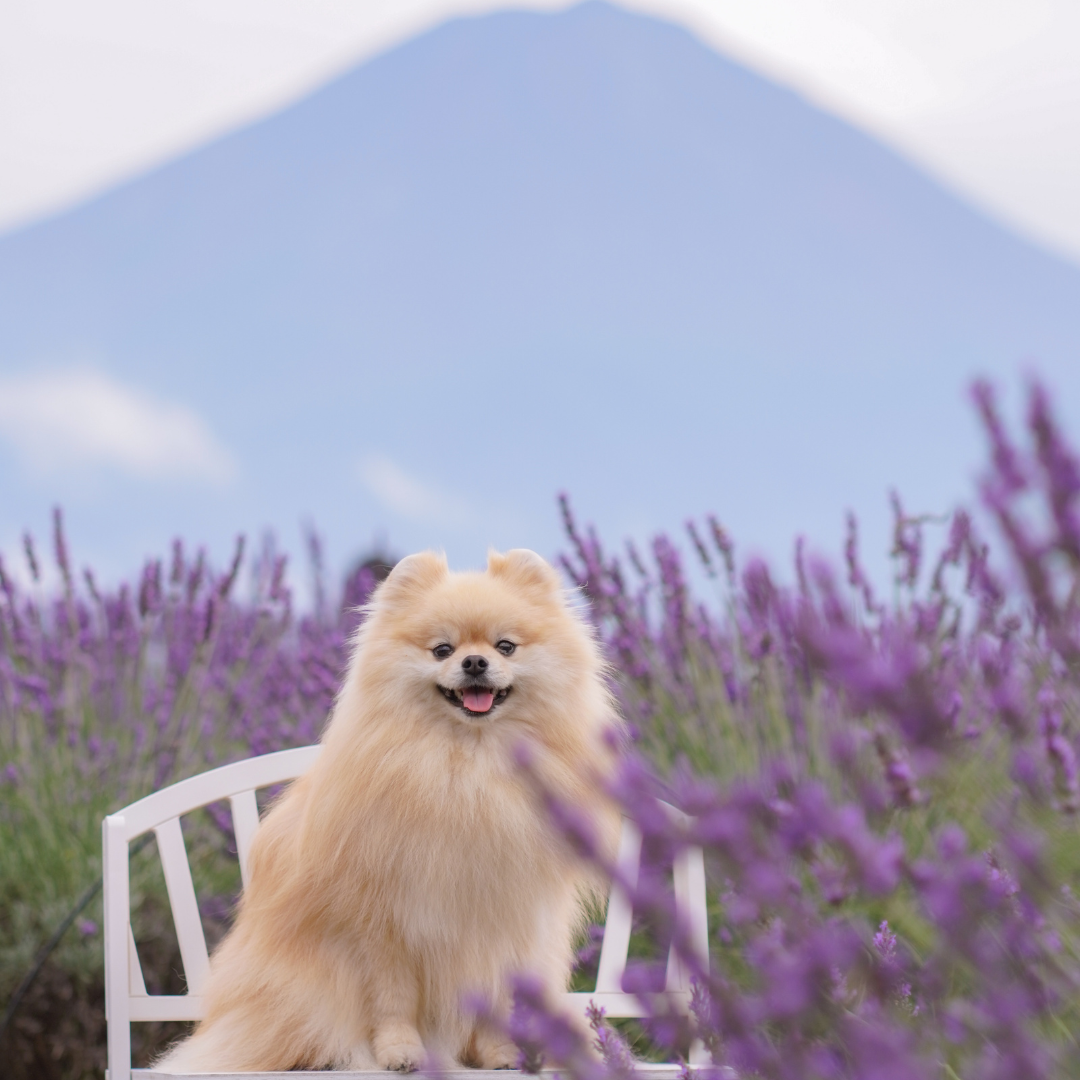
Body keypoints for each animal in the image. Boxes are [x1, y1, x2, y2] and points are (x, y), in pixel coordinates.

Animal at [156, 548, 622, 1071]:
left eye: (506, 647)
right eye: (441, 650)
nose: (475, 660)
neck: (468, 767)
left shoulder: (505, 921)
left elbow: (496, 999)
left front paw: (501, 1054)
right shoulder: (383, 922)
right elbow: (393, 999)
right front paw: (399, 1052)